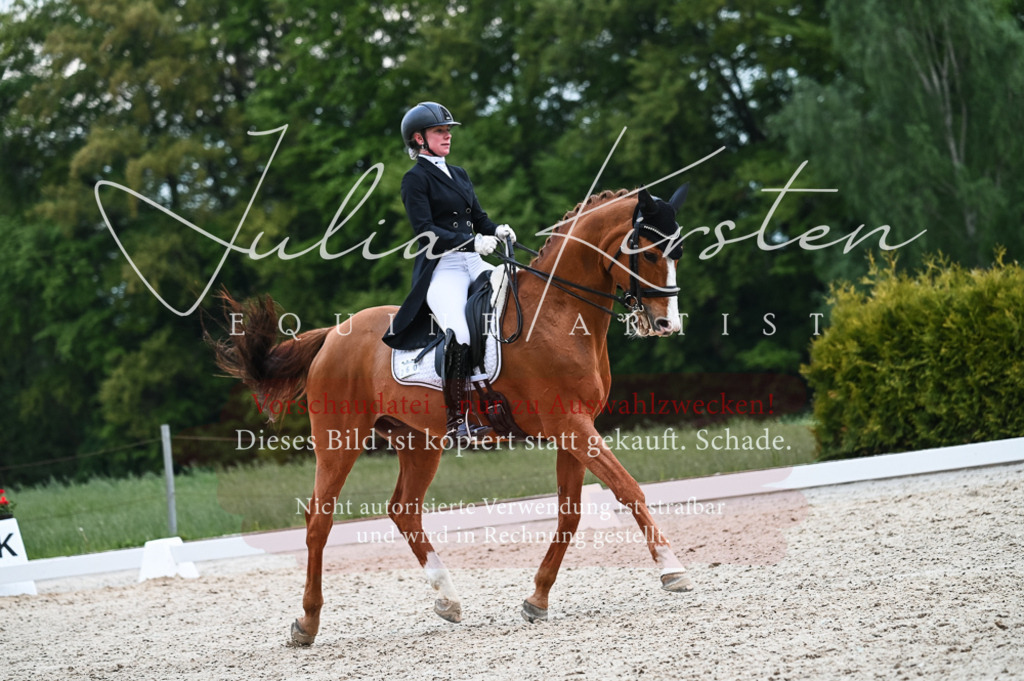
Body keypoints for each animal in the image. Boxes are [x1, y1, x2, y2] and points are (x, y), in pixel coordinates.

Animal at [209, 185, 694, 646]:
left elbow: (570, 514)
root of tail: (333, 334)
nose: (667, 324)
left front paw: (537, 598)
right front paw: (672, 570)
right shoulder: (570, 426)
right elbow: (628, 489)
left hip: (419, 441)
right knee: (319, 520)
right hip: (338, 440)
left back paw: (448, 599)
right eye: (650, 252)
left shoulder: (574, 428)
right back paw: (307, 623)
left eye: (677, 253)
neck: (558, 313)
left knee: (404, 511)